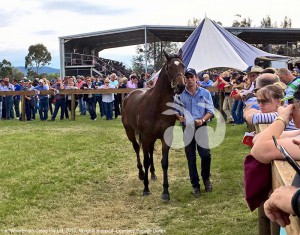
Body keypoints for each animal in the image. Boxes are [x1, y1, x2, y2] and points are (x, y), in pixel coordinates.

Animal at [122, 50, 185, 200]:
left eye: (183, 66)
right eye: (169, 67)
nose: (180, 86)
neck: (157, 106)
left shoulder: (165, 137)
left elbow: (164, 162)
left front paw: (165, 191)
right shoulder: (145, 136)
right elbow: (145, 160)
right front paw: (146, 188)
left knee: (150, 151)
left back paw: (153, 173)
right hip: (130, 132)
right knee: (136, 149)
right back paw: (141, 173)